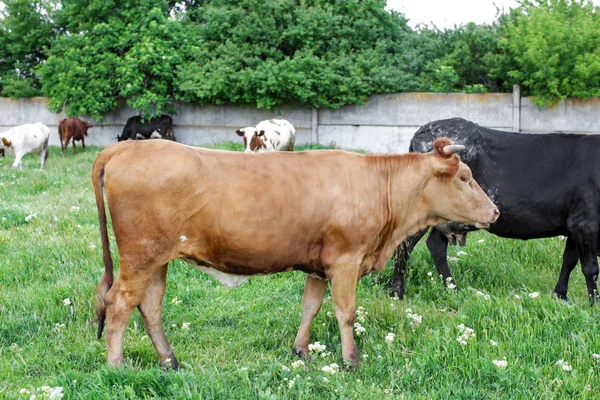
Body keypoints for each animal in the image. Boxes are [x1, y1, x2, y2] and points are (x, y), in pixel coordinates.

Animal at [91, 138, 500, 368]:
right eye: (465, 177)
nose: (496, 212)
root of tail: (125, 146)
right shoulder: (346, 260)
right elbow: (346, 312)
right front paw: (352, 361)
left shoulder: (318, 265)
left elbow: (311, 307)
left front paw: (301, 350)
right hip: (140, 257)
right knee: (119, 305)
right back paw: (116, 365)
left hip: (157, 260)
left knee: (150, 307)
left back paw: (169, 360)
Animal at [392, 117, 600, 304]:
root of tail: (424, 130)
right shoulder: (586, 224)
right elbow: (590, 268)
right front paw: (594, 304)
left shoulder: (575, 225)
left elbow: (569, 260)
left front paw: (561, 296)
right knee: (404, 246)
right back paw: (397, 294)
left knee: (435, 244)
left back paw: (453, 289)